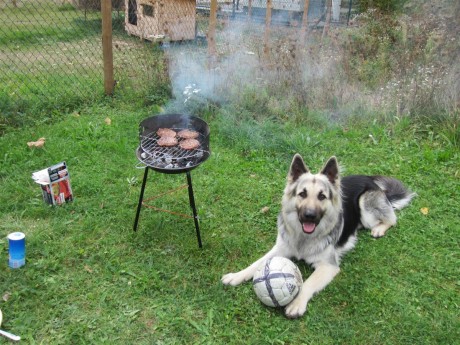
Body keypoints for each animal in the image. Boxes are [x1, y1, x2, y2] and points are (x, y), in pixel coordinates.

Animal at [221, 153, 416, 318]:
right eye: (302, 194)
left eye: (322, 196)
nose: (309, 215)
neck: (303, 238)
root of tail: (368, 178)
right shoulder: (280, 249)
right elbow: (257, 264)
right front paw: (236, 275)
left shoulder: (328, 266)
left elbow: (307, 283)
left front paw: (297, 303)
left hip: (366, 209)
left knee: (392, 218)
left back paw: (379, 229)